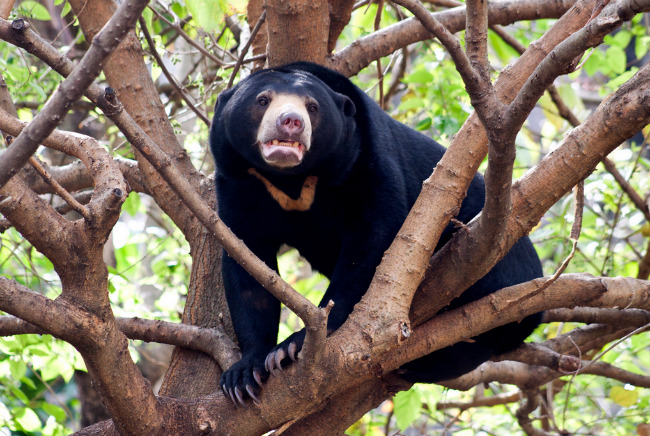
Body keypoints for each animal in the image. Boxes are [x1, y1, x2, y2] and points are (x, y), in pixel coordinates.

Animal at [209, 62, 540, 406]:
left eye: (312, 108)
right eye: (262, 100)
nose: (291, 121)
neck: (290, 180)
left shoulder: (366, 160)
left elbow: (371, 242)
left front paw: (292, 346)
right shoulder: (237, 182)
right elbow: (247, 267)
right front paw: (244, 374)